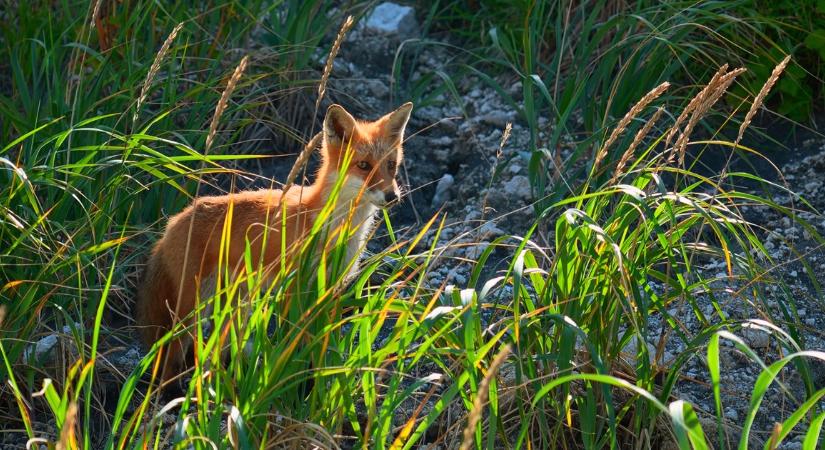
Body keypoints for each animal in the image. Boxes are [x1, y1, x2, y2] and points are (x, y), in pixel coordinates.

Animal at [138, 103, 416, 386]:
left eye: (391, 166)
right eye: (363, 165)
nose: (393, 196)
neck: (326, 225)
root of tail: (172, 222)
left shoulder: (332, 289)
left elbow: (324, 344)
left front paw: (320, 379)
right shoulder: (294, 288)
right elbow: (294, 342)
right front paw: (296, 381)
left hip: (235, 305)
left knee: (220, 346)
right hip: (192, 308)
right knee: (171, 354)